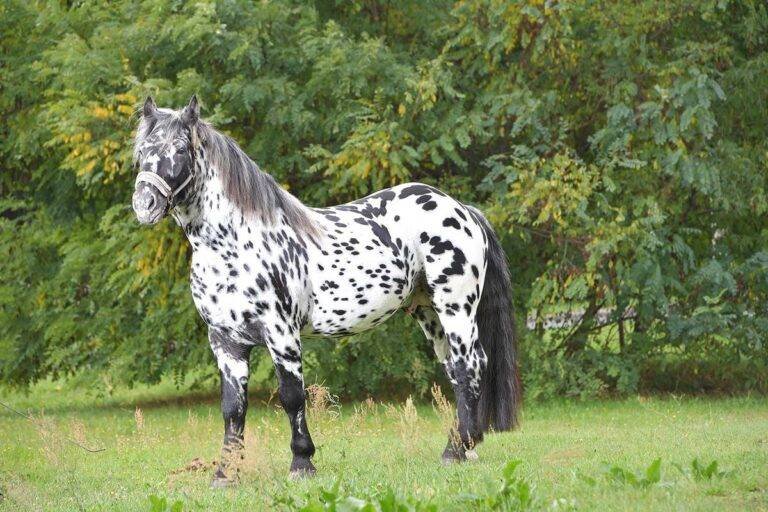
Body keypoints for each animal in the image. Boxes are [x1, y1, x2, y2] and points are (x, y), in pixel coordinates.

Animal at [131, 96, 521, 485]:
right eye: (142, 150)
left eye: (180, 148)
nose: (144, 205)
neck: (235, 244)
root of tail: (462, 209)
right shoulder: (226, 342)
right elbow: (232, 408)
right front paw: (226, 473)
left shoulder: (282, 334)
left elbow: (291, 397)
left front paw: (302, 463)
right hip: (429, 312)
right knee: (456, 370)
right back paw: (465, 448)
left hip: (457, 308)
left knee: (470, 365)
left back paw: (456, 450)